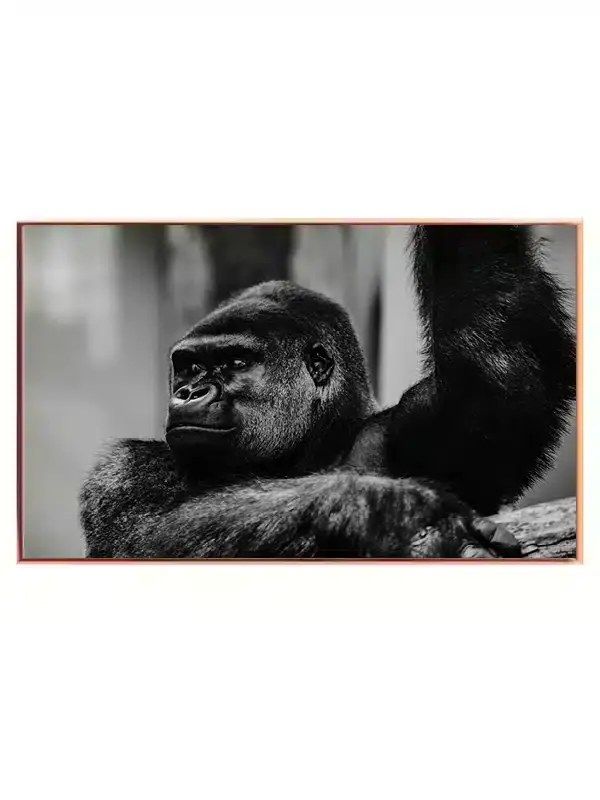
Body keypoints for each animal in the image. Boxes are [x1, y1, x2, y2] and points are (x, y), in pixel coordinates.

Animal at [79, 225, 575, 559]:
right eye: (190, 367)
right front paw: (381, 510)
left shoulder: (415, 429)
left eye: (236, 363)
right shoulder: (122, 471)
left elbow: (495, 359)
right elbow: (143, 536)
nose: (189, 392)